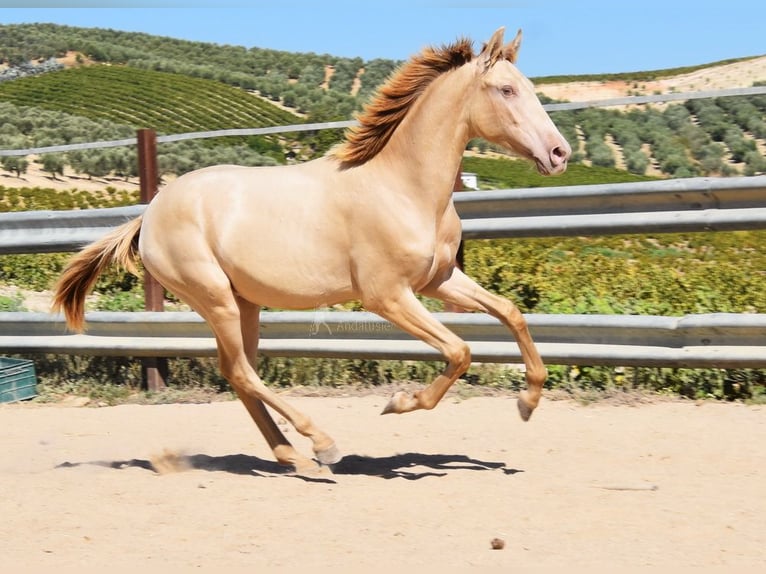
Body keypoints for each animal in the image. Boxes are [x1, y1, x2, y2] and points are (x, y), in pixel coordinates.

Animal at [52, 27, 568, 472]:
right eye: (506, 90)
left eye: (528, 87)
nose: (559, 153)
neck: (402, 186)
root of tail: (150, 214)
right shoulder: (387, 296)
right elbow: (460, 350)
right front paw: (400, 402)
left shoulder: (438, 280)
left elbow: (511, 313)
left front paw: (528, 401)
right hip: (215, 298)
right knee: (242, 371)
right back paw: (321, 444)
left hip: (244, 303)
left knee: (238, 372)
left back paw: (293, 457)